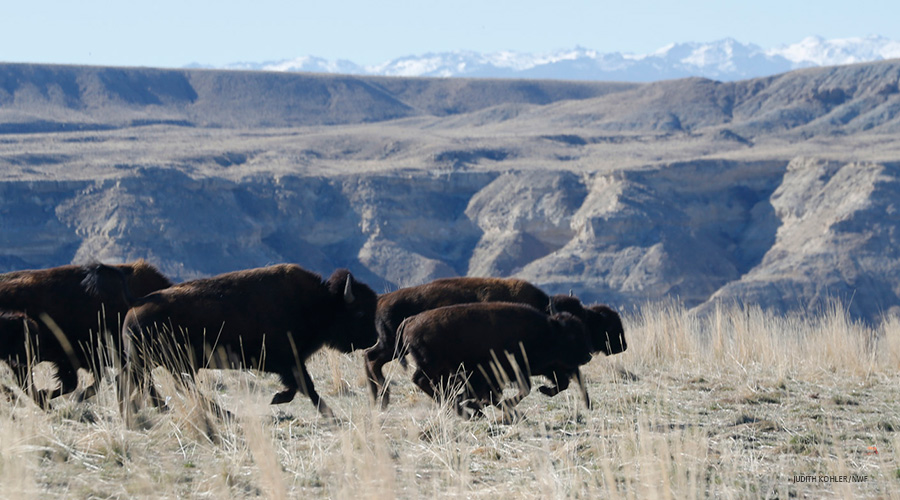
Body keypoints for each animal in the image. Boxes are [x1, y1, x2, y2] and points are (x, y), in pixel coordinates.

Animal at [118, 264, 376, 424]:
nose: (374, 338)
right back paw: (224, 414)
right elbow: (307, 386)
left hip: (159, 363)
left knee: (146, 382)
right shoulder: (290, 360)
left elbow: (299, 386)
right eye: (360, 312)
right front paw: (327, 413)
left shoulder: (290, 363)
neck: (319, 302)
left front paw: (278, 398)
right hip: (165, 363)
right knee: (168, 385)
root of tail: (137, 303)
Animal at [398, 300, 596, 418]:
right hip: (432, 366)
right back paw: (465, 412)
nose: (587, 356)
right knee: (422, 381)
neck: (546, 331)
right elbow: (517, 391)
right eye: (571, 336)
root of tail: (410, 320)